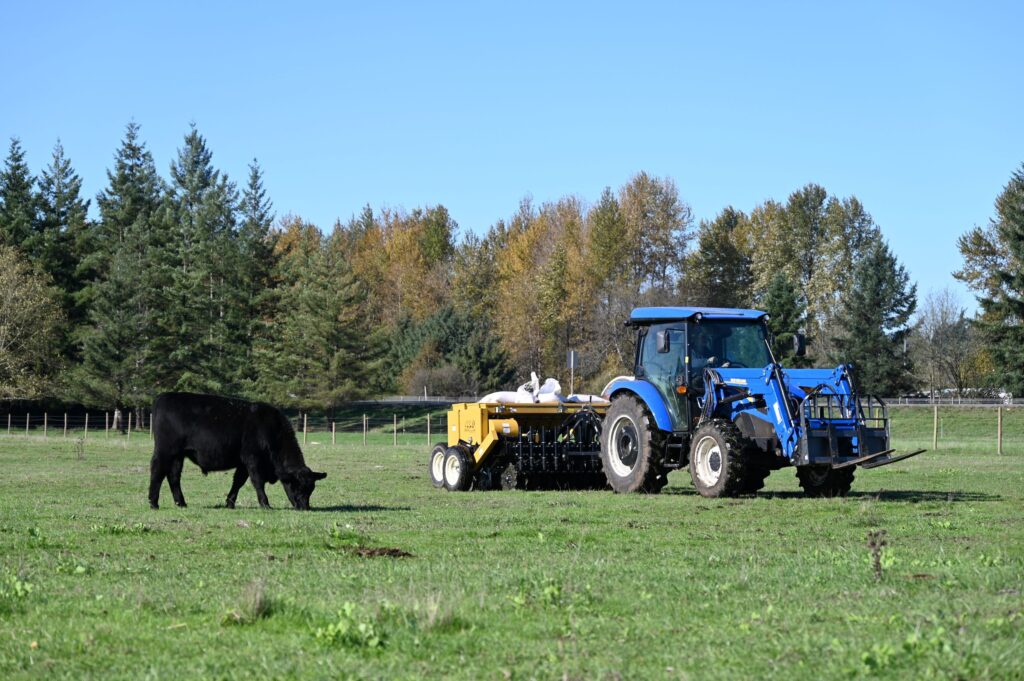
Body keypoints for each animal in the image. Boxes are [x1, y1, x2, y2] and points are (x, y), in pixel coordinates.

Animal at [149, 392, 327, 510]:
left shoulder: (243, 462)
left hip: (178, 455)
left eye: (311, 489)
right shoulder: (252, 458)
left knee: (173, 476)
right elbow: (257, 481)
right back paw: (153, 502)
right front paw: (265, 504)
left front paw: (230, 503)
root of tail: (164, 396)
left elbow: (238, 482)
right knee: (157, 472)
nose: (304, 507)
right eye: (297, 487)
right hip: (165, 450)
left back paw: (181, 503)